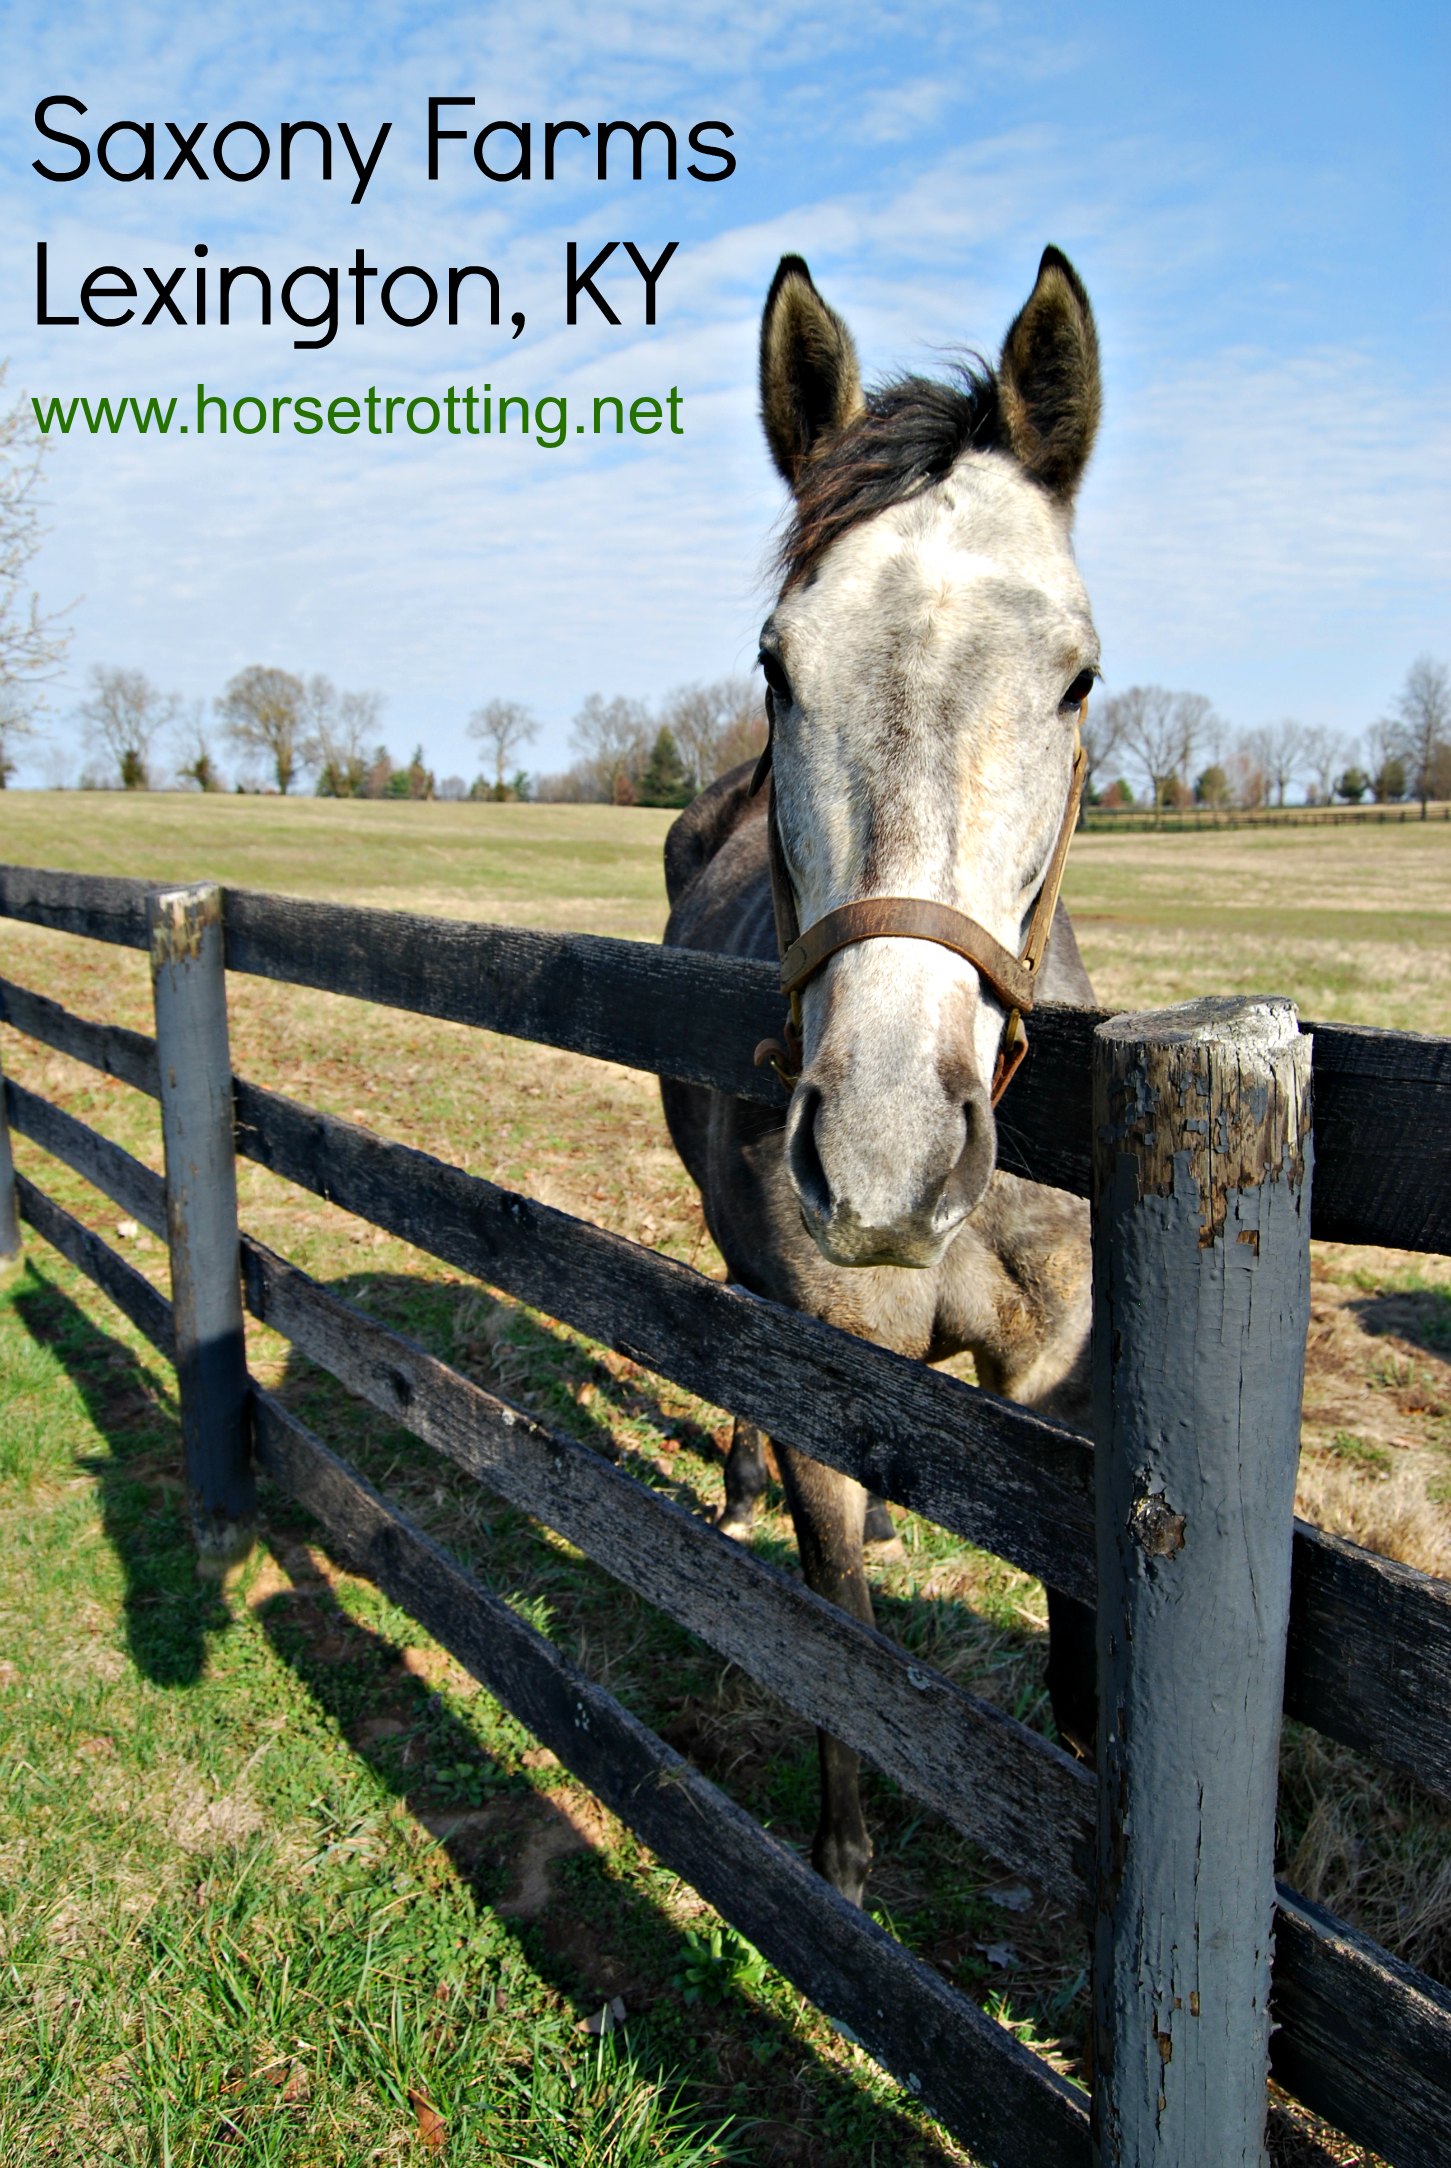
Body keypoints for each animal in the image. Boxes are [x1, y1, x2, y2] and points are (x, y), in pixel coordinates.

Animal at [660, 247, 1102, 1905]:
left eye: (1074, 681)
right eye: (777, 667)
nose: (883, 1162)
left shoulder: (1059, 1394)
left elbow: (1079, 1666)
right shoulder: (821, 1363)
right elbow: (837, 1617)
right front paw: (841, 1855)